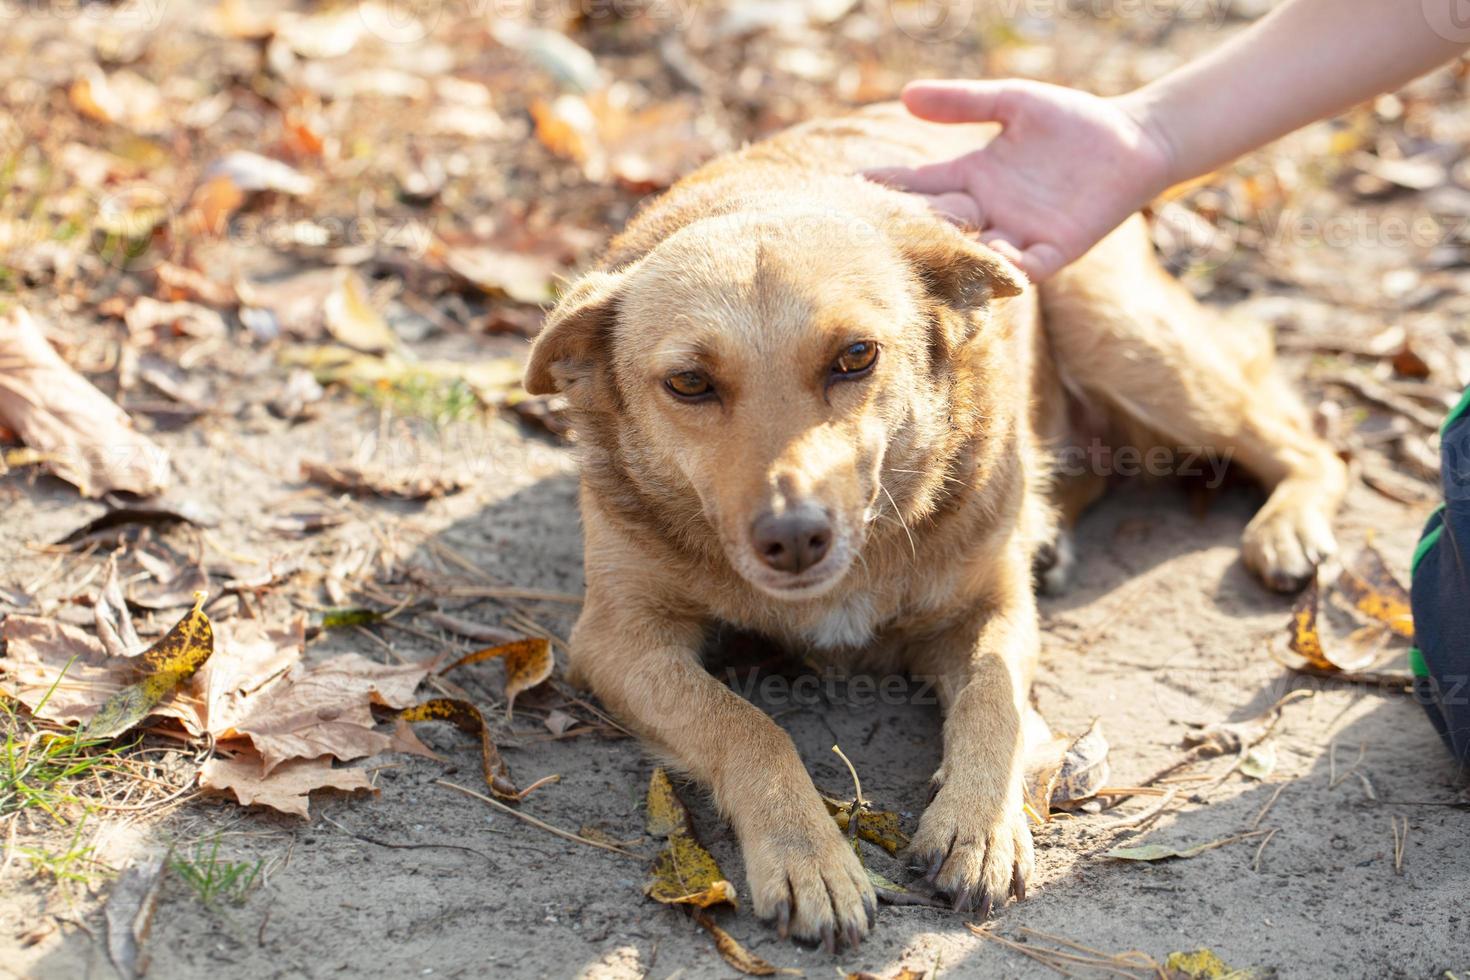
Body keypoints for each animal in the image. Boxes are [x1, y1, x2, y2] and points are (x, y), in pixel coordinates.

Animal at [523, 101, 1346, 952]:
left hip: (1124, 336)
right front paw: (810, 854)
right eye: (689, 383)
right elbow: (746, 726)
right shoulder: (618, 640)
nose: (794, 537)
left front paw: (979, 825)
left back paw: (1286, 526)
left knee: (1302, 439)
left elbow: (992, 694)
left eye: (856, 355)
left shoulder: (993, 608)